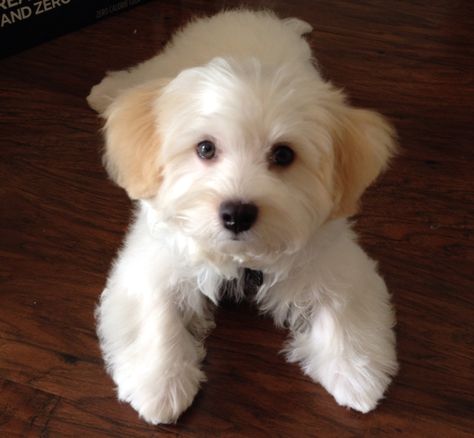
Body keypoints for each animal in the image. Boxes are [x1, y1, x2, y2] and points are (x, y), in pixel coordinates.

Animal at [87, 9, 398, 424]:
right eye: (205, 148)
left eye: (283, 155)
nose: (237, 214)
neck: (243, 258)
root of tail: (250, 14)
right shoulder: (153, 257)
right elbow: (156, 309)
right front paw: (161, 382)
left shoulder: (333, 257)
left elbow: (342, 305)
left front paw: (355, 371)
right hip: (164, 63)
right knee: (139, 76)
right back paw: (107, 91)